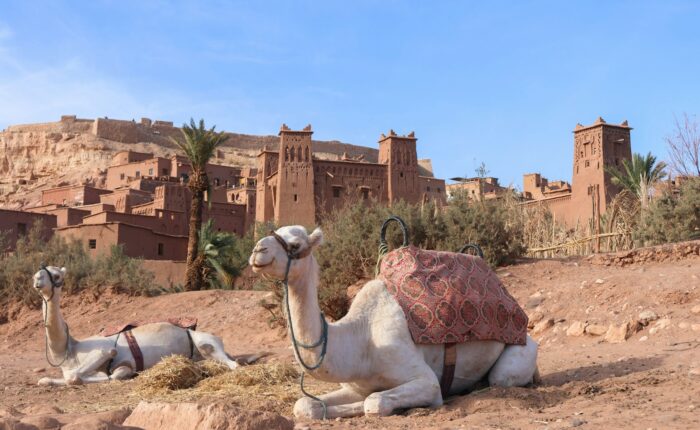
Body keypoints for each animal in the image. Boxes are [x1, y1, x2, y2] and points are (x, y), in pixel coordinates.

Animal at [32, 265, 240, 386]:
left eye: (56, 275)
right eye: (41, 271)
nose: (37, 278)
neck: (69, 351)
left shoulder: (106, 352)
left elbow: (83, 375)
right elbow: (45, 380)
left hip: (206, 342)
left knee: (232, 363)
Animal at [249, 226, 539, 419]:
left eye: (295, 244)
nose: (257, 250)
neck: (360, 341)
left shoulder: (425, 380)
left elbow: (374, 402)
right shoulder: (354, 384)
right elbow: (304, 405)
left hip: (517, 354)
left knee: (502, 378)